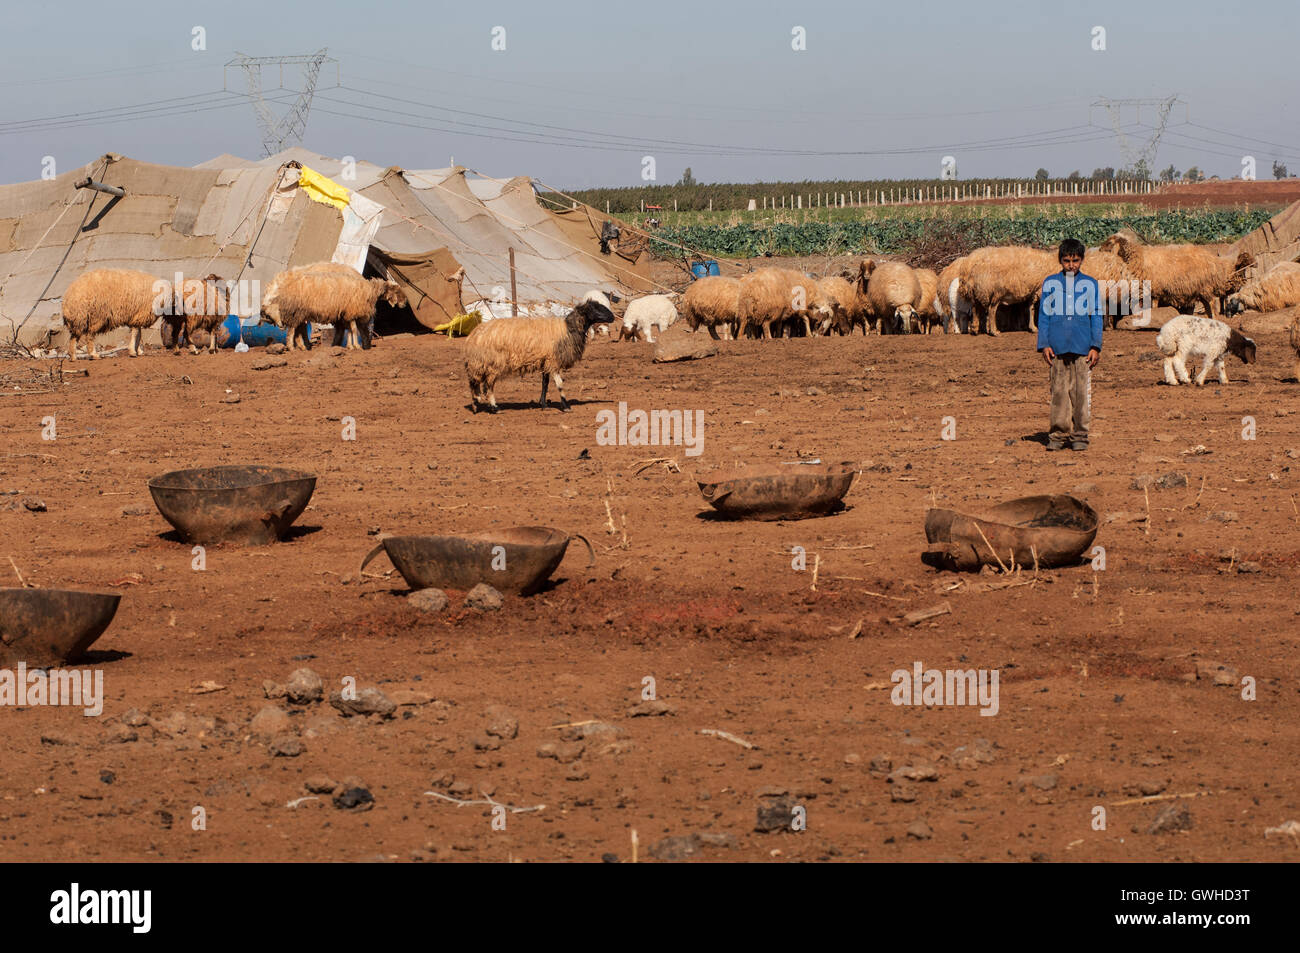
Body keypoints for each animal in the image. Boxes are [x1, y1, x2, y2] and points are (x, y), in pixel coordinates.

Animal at [260, 262, 405, 351]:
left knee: (298, 328)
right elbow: (354, 329)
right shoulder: (352, 312)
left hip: (300, 312)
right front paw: (356, 346)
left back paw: (303, 346)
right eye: (397, 291)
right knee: (293, 329)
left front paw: (350, 345)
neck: (370, 290)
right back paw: (294, 347)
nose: (404, 304)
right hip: (296, 311)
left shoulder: (346, 314)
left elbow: (350, 330)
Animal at [462, 299, 613, 410]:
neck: (567, 329)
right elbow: (560, 384)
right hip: (492, 363)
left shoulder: (545, 360)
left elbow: (545, 383)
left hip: (480, 364)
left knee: (475, 384)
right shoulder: (553, 361)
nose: (612, 317)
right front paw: (565, 406)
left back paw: (476, 405)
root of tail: (473, 336)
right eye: (594, 308)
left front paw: (543, 404)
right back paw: (494, 407)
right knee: (488, 385)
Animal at [1092, 234, 1253, 319]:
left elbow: (1154, 307)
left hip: (1205, 288)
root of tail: (1213, 261)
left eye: (1109, 242)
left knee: (1213, 304)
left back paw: (1214, 318)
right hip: (1199, 291)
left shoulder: (1155, 291)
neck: (1139, 258)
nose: (1099, 249)